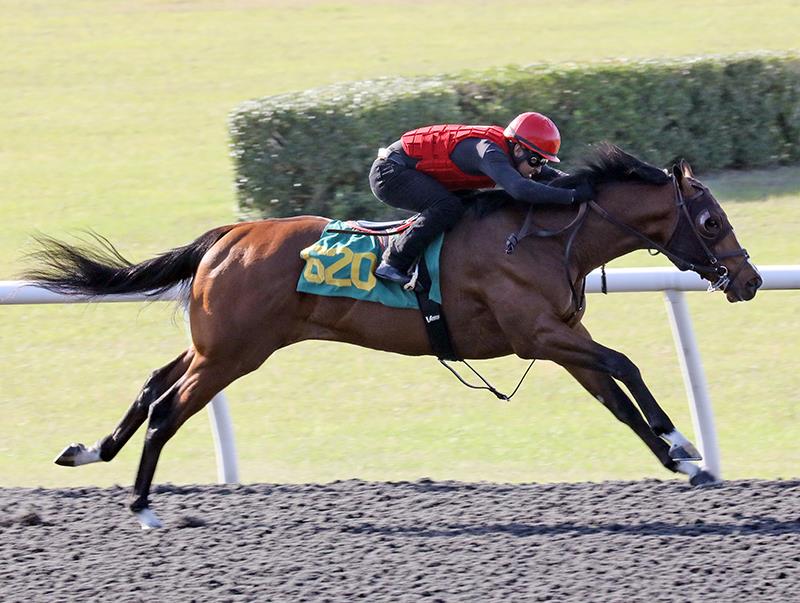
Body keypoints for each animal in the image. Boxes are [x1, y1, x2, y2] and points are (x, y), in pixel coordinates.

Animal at [25, 144, 762, 529]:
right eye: (711, 220)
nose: (750, 279)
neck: (545, 235)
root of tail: (228, 235)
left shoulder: (560, 337)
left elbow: (615, 399)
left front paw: (683, 461)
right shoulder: (539, 336)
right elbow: (628, 367)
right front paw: (683, 442)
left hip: (215, 346)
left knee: (151, 385)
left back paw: (88, 452)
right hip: (232, 354)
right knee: (166, 410)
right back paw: (143, 505)